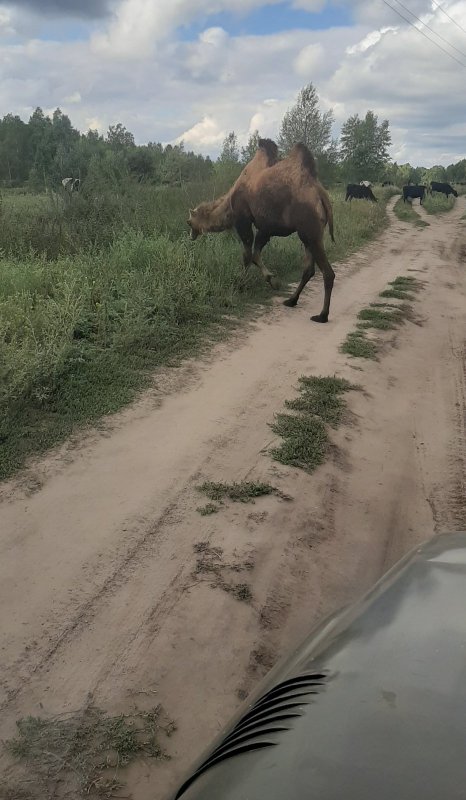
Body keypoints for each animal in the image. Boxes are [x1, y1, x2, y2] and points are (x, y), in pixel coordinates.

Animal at [187, 138, 336, 322]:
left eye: (189, 222)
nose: (191, 236)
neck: (230, 202)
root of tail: (321, 194)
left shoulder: (244, 220)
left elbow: (248, 255)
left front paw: (244, 284)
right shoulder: (266, 228)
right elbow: (256, 254)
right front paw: (272, 280)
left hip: (310, 231)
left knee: (328, 272)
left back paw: (322, 315)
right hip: (309, 234)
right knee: (308, 269)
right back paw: (291, 300)